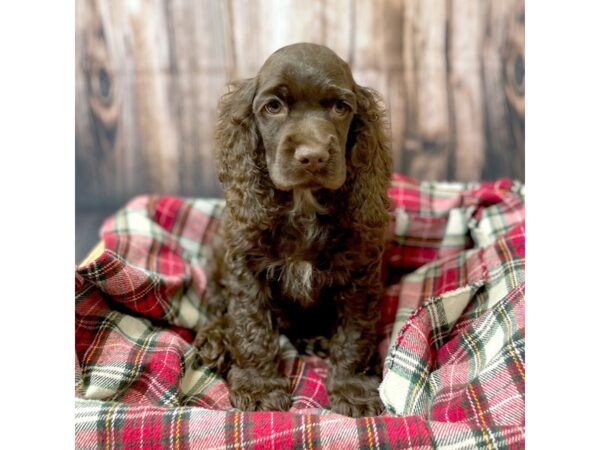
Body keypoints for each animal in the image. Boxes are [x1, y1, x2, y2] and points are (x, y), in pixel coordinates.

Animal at [196, 43, 394, 418]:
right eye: (273, 107)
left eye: (340, 107)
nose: (312, 156)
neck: (303, 206)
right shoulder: (245, 264)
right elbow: (251, 328)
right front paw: (259, 388)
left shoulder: (361, 271)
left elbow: (355, 334)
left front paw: (353, 388)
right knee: (216, 307)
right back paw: (215, 341)